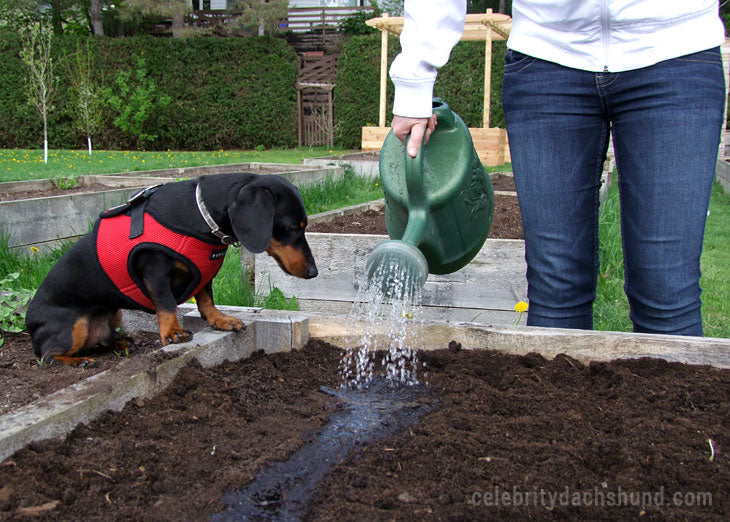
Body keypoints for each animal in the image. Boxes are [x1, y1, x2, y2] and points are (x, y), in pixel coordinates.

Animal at [26, 173, 316, 364]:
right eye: (292, 227)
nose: (313, 273)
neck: (200, 215)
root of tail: (29, 321)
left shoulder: (204, 272)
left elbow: (206, 298)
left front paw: (220, 319)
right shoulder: (155, 272)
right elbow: (166, 304)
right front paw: (173, 332)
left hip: (114, 315)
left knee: (101, 339)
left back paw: (121, 341)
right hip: (72, 328)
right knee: (48, 355)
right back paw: (76, 361)